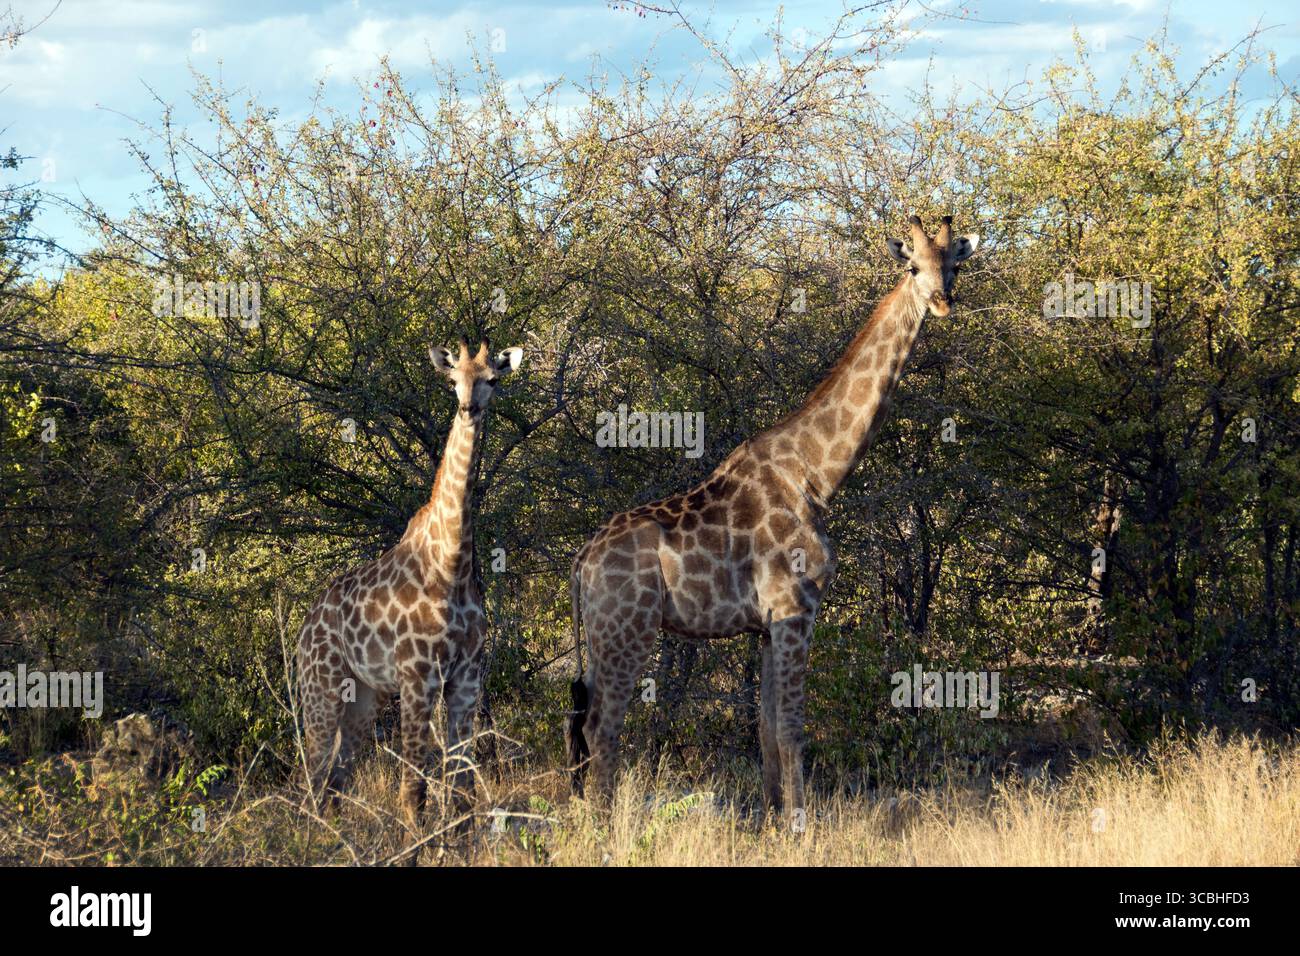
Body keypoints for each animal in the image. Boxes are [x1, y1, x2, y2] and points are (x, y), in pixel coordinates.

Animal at [297, 340, 524, 824]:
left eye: (492, 380)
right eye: (452, 379)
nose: (468, 408)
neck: (452, 562)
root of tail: (306, 624)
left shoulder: (466, 678)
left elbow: (462, 791)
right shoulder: (418, 677)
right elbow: (413, 789)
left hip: (364, 695)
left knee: (336, 780)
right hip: (321, 685)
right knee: (311, 775)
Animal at [566, 215, 979, 824]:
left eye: (953, 263)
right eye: (911, 266)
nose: (943, 301)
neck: (817, 475)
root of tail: (581, 564)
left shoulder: (764, 625)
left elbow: (764, 730)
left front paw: (770, 819)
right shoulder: (795, 608)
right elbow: (792, 729)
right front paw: (801, 826)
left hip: (601, 637)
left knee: (580, 721)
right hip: (628, 631)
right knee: (601, 726)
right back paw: (601, 827)